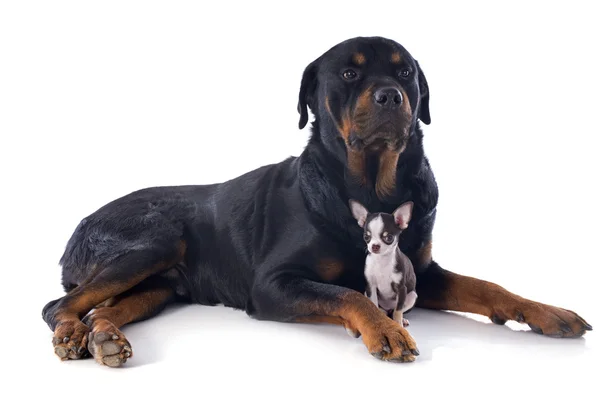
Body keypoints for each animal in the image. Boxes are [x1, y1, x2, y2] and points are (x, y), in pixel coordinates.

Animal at [350, 200, 420, 328]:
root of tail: (388, 308)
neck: (381, 261)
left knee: (395, 310)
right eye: (366, 236)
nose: (375, 246)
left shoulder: (401, 289)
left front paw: (398, 323)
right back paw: (383, 313)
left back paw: (402, 319)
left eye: (389, 237)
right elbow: (373, 304)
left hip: (412, 295)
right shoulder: (371, 286)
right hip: (366, 292)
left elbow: (398, 310)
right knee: (383, 310)